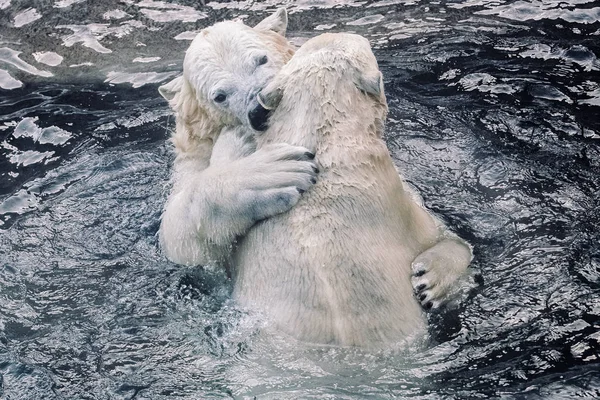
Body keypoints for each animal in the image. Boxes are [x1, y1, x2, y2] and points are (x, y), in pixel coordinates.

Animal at [158, 8, 318, 268]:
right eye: (220, 96)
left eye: (261, 59)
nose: (260, 110)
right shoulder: (193, 155)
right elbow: (177, 237)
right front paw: (269, 171)